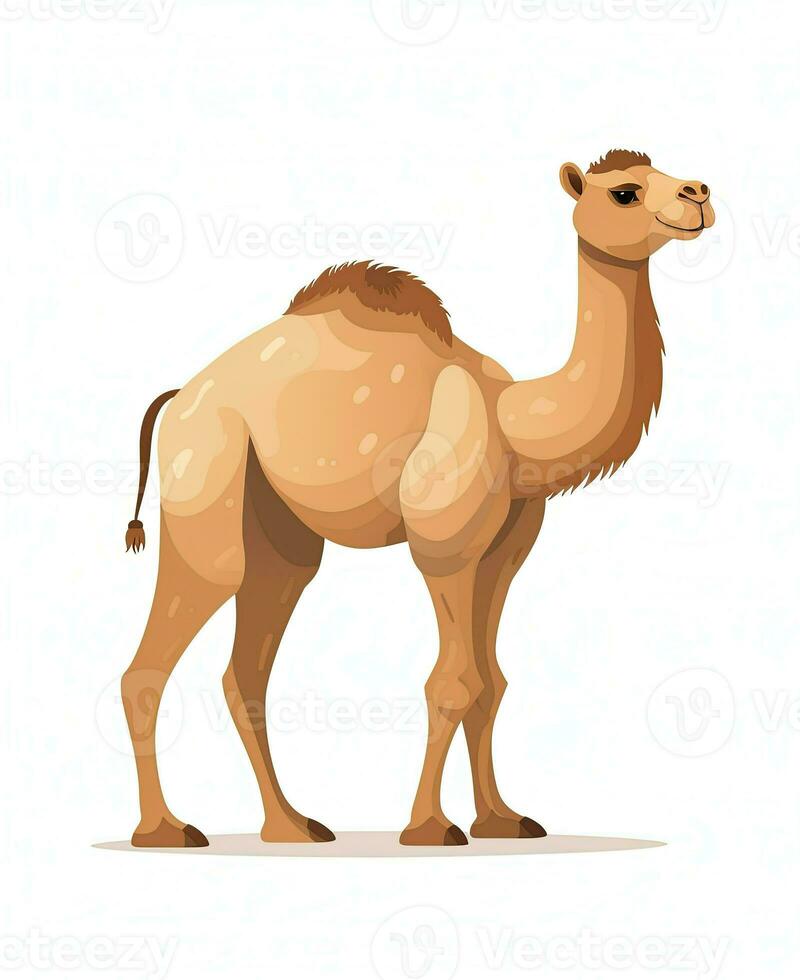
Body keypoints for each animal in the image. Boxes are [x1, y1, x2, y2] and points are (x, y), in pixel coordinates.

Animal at [121, 149, 714, 847]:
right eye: (624, 192)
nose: (698, 194)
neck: (516, 421)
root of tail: (179, 395)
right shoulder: (444, 546)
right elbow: (452, 682)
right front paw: (430, 826)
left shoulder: (504, 552)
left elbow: (492, 683)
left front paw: (502, 820)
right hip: (204, 469)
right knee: (165, 645)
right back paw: (164, 829)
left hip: (278, 534)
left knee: (247, 667)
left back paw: (292, 826)